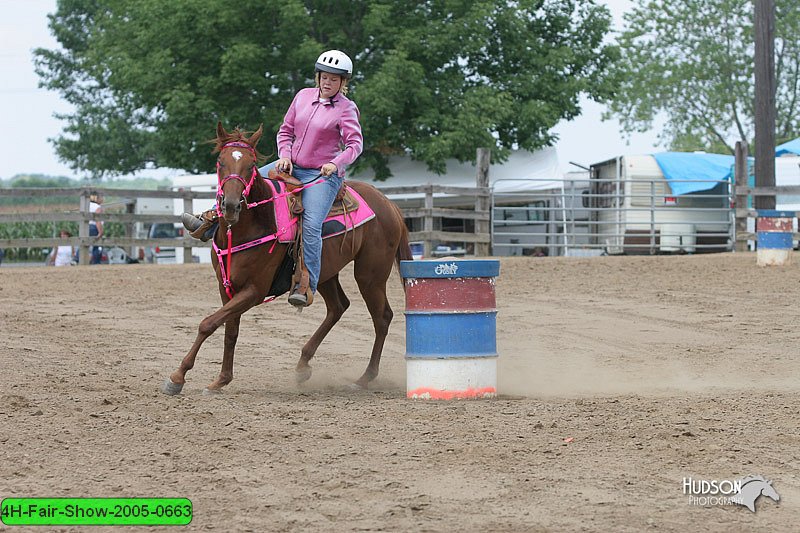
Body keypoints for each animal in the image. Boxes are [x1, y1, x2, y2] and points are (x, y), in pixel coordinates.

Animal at [162, 122, 412, 392]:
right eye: (220, 162)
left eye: (251, 164)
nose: (230, 206)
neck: (253, 225)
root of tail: (390, 205)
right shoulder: (226, 286)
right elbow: (229, 330)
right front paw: (221, 380)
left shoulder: (254, 290)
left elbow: (208, 323)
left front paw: (177, 377)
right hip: (323, 272)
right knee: (338, 307)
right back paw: (303, 365)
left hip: (370, 275)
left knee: (382, 317)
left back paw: (365, 378)